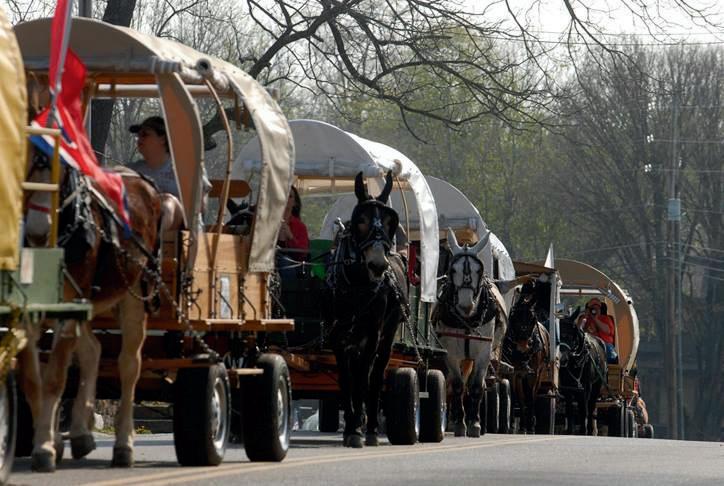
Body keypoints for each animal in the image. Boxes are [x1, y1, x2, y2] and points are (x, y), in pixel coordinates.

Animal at [19, 160, 165, 471]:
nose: (38, 231)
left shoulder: (67, 309)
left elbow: (54, 378)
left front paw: (45, 448)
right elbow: (32, 379)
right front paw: (53, 440)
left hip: (135, 294)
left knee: (129, 366)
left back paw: (123, 445)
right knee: (92, 350)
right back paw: (80, 435)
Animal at [325, 171, 408, 448]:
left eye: (390, 221)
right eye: (359, 220)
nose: (378, 265)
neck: (358, 285)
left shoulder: (373, 333)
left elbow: (364, 378)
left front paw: (358, 428)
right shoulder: (338, 335)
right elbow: (346, 378)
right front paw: (351, 425)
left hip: (388, 332)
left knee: (377, 373)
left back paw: (371, 426)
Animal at [433, 228, 508, 437]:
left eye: (478, 270)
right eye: (453, 269)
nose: (466, 306)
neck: (467, 319)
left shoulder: (483, 352)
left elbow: (475, 387)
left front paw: (474, 423)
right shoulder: (451, 352)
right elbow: (458, 385)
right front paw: (459, 424)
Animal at [502, 281, 550, 433]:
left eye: (532, 318)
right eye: (514, 316)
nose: (522, 347)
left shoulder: (533, 374)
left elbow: (529, 396)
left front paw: (530, 425)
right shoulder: (514, 372)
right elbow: (516, 396)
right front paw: (515, 424)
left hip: (538, 374)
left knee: (533, 395)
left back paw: (531, 421)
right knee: (521, 397)